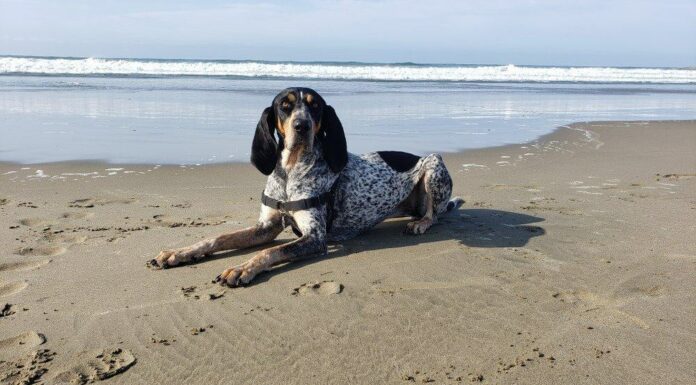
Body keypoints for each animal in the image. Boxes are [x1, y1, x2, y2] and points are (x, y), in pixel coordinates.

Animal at [148, 87, 462, 284]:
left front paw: (241, 268)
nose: (302, 126)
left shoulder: (315, 237)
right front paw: (180, 252)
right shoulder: (266, 227)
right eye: (284, 106)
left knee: (435, 214)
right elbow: (219, 238)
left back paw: (421, 223)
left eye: (316, 106)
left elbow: (269, 252)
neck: (290, 172)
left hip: (434, 163)